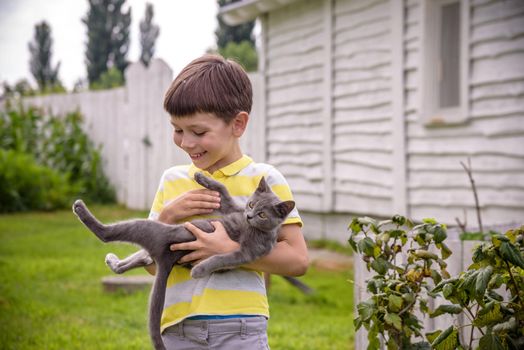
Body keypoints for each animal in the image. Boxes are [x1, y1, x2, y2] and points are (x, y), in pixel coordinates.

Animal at [71, 174, 294, 350]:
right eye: (251, 204)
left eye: (262, 214)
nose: (249, 216)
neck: (251, 227)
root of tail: (164, 258)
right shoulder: (233, 209)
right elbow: (223, 193)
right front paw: (202, 178)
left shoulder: (248, 252)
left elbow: (222, 257)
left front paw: (199, 270)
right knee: (137, 258)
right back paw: (113, 260)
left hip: (151, 228)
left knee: (107, 234)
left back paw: (81, 209)